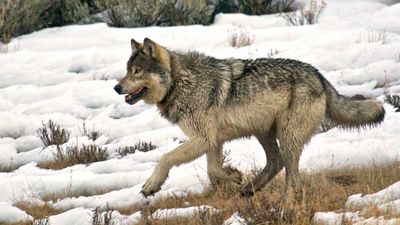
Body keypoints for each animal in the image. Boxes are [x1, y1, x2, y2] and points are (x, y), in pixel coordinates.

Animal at [113, 38, 384, 197]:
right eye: (127, 71)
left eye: (137, 71)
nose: (116, 87)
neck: (180, 82)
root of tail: (319, 75)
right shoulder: (212, 141)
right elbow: (214, 170)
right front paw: (234, 176)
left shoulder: (203, 138)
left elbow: (165, 158)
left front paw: (151, 185)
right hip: (264, 133)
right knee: (276, 163)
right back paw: (249, 189)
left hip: (286, 137)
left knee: (291, 178)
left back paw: (284, 204)